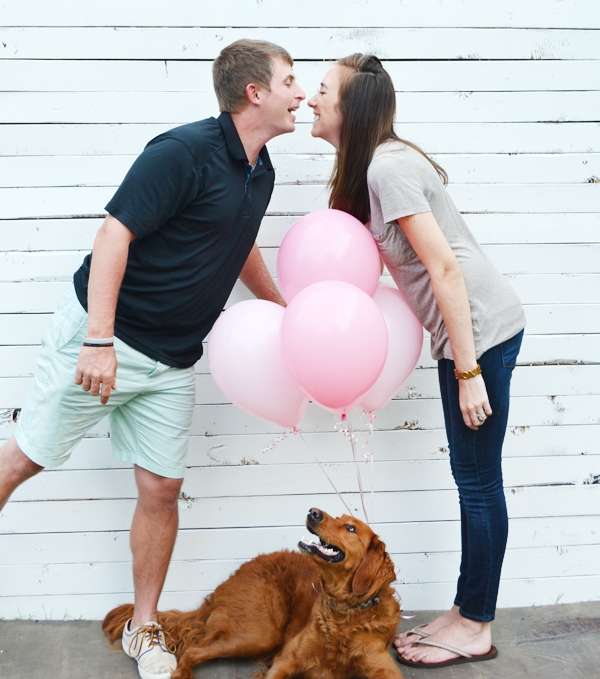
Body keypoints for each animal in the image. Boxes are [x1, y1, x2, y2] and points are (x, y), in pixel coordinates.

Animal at [103, 508, 404, 679]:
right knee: (190, 651)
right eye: (338, 517)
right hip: (261, 634)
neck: (345, 613)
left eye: (350, 527)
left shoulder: (382, 668)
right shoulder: (287, 659)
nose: (313, 511)